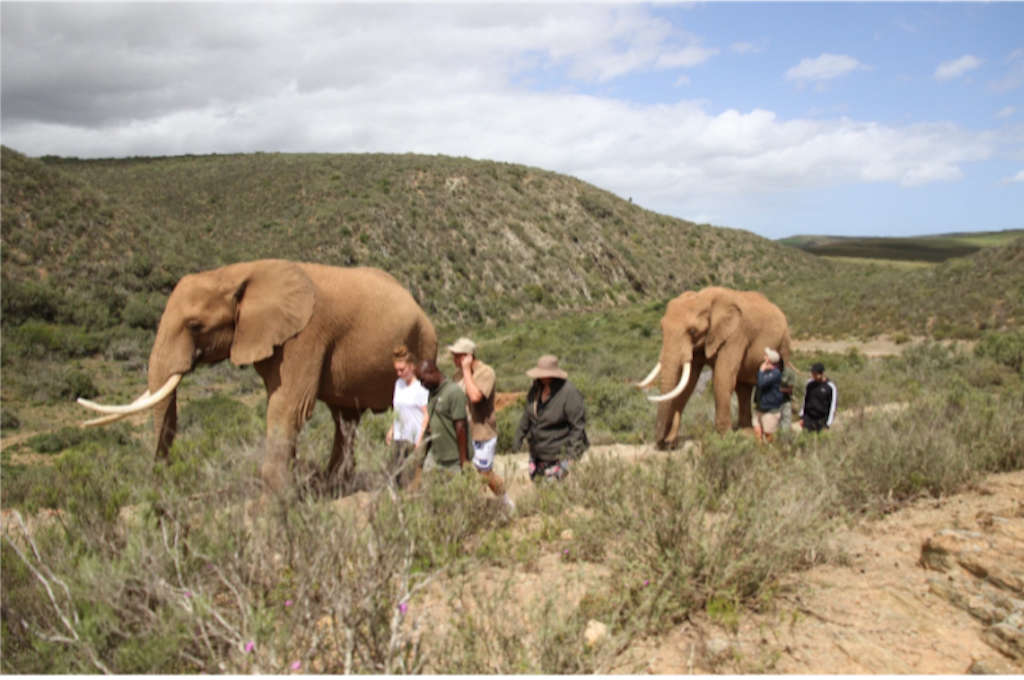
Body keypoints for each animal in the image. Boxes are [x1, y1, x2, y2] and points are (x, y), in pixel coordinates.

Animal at [75, 260, 436, 503]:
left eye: (193, 325)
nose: (164, 490)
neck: (239, 272)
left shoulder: (306, 335)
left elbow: (287, 408)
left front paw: (271, 505)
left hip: (424, 346)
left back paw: (409, 490)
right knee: (345, 420)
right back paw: (331, 489)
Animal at [638, 284, 790, 448]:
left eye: (693, 331)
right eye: (661, 329)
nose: (663, 443)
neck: (703, 298)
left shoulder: (736, 334)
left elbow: (721, 377)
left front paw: (724, 440)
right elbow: (688, 384)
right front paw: (671, 441)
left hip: (784, 343)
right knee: (743, 389)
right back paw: (746, 433)